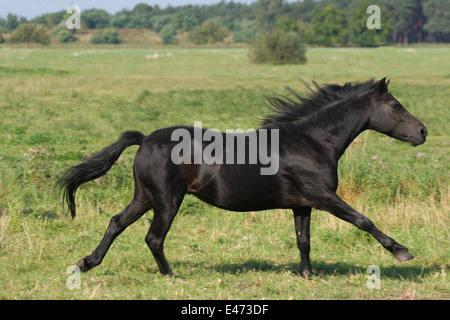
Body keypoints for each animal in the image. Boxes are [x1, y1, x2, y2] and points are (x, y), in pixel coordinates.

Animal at [58, 79, 428, 276]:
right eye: (395, 106)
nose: (423, 132)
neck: (313, 141)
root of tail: (145, 138)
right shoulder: (323, 196)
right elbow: (363, 221)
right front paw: (402, 252)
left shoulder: (302, 204)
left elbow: (303, 240)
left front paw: (308, 275)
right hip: (166, 200)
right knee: (153, 237)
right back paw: (170, 275)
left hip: (144, 196)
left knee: (116, 222)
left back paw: (86, 263)